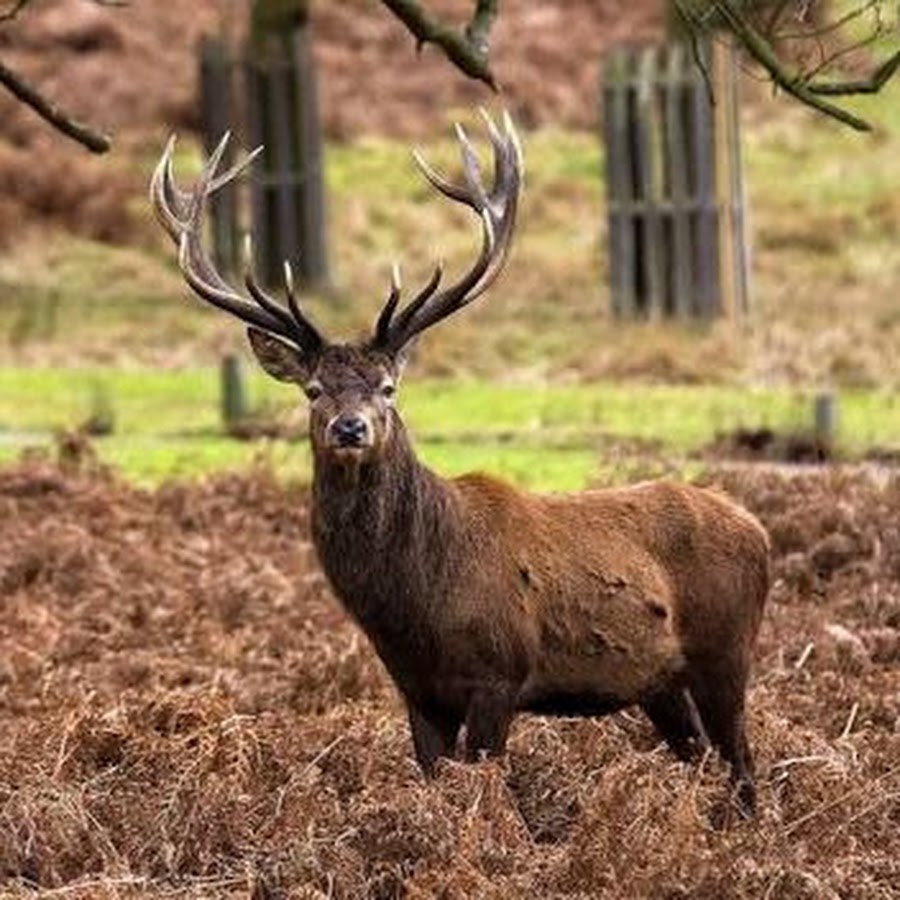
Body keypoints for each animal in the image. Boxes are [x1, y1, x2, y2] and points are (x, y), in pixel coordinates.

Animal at [150, 112, 769, 814]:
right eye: (313, 390)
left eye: (388, 386)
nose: (350, 426)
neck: (415, 607)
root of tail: (758, 528)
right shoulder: (419, 692)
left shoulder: (499, 674)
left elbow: (488, 789)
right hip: (658, 682)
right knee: (703, 759)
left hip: (726, 651)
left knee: (743, 763)